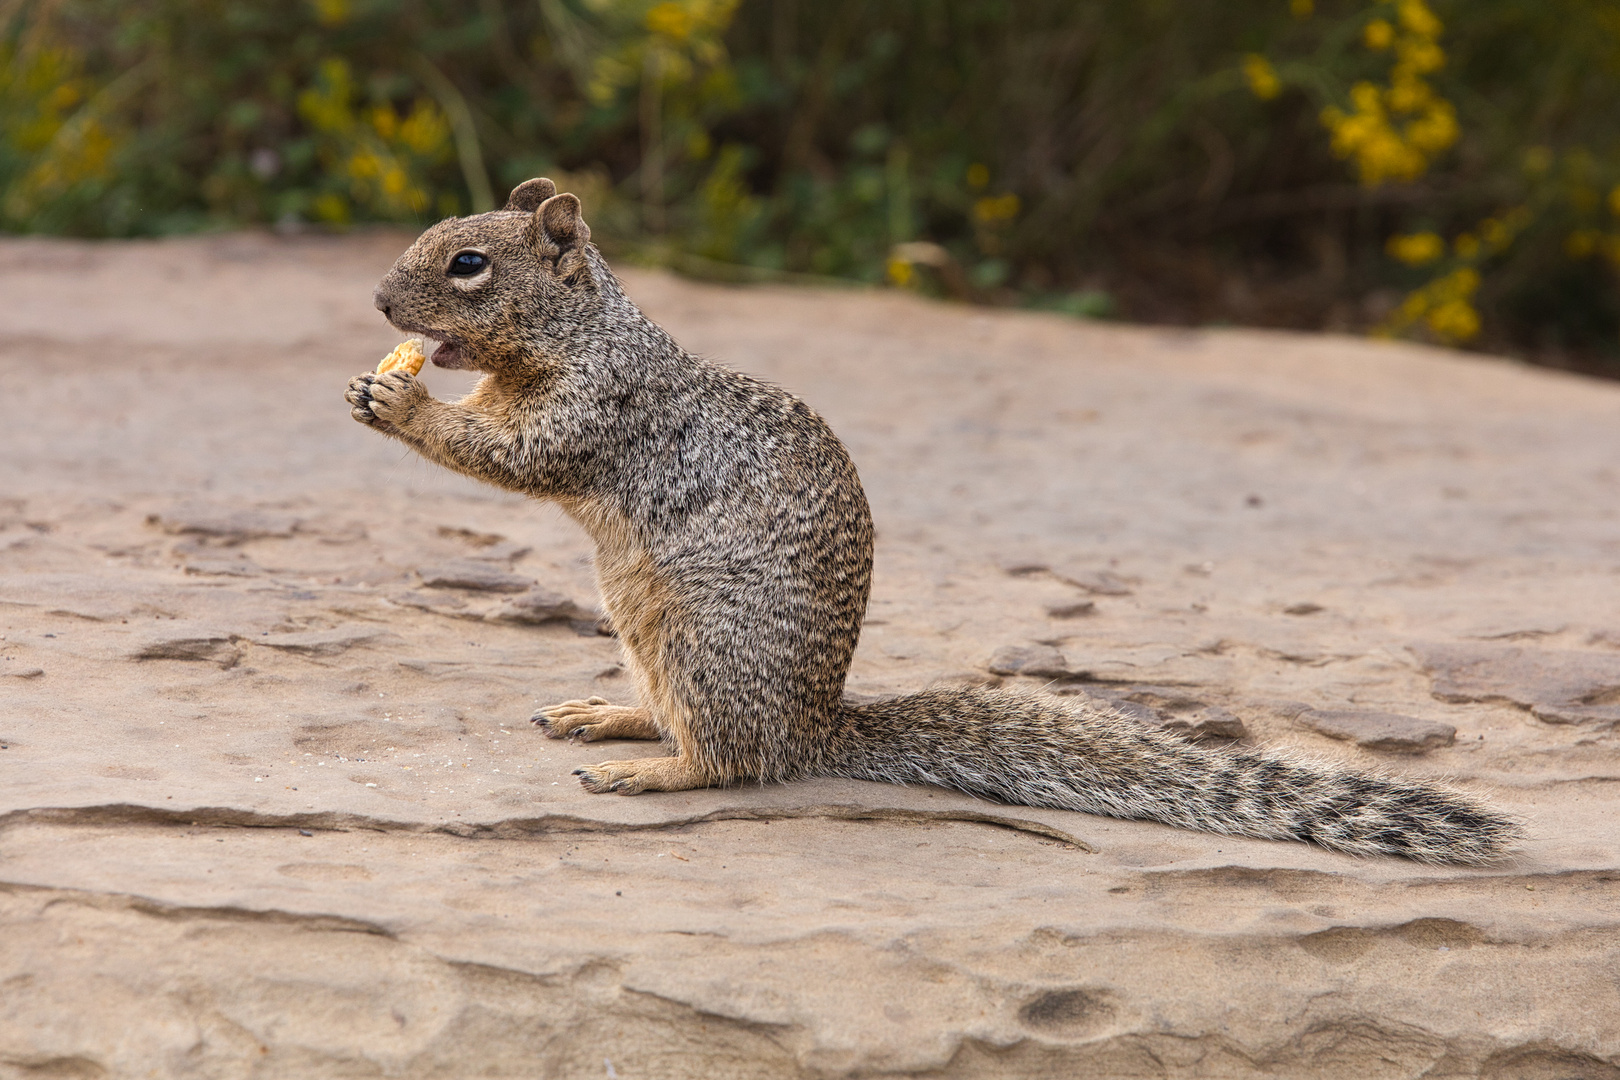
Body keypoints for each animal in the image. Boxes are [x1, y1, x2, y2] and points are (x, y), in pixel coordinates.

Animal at [345, 181, 1516, 867]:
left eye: (468, 265)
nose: (379, 304)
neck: (578, 338)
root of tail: (819, 723)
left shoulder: (597, 416)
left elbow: (516, 457)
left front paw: (400, 405)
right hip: (646, 636)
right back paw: (613, 717)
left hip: (699, 643)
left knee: (732, 761)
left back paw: (648, 770)